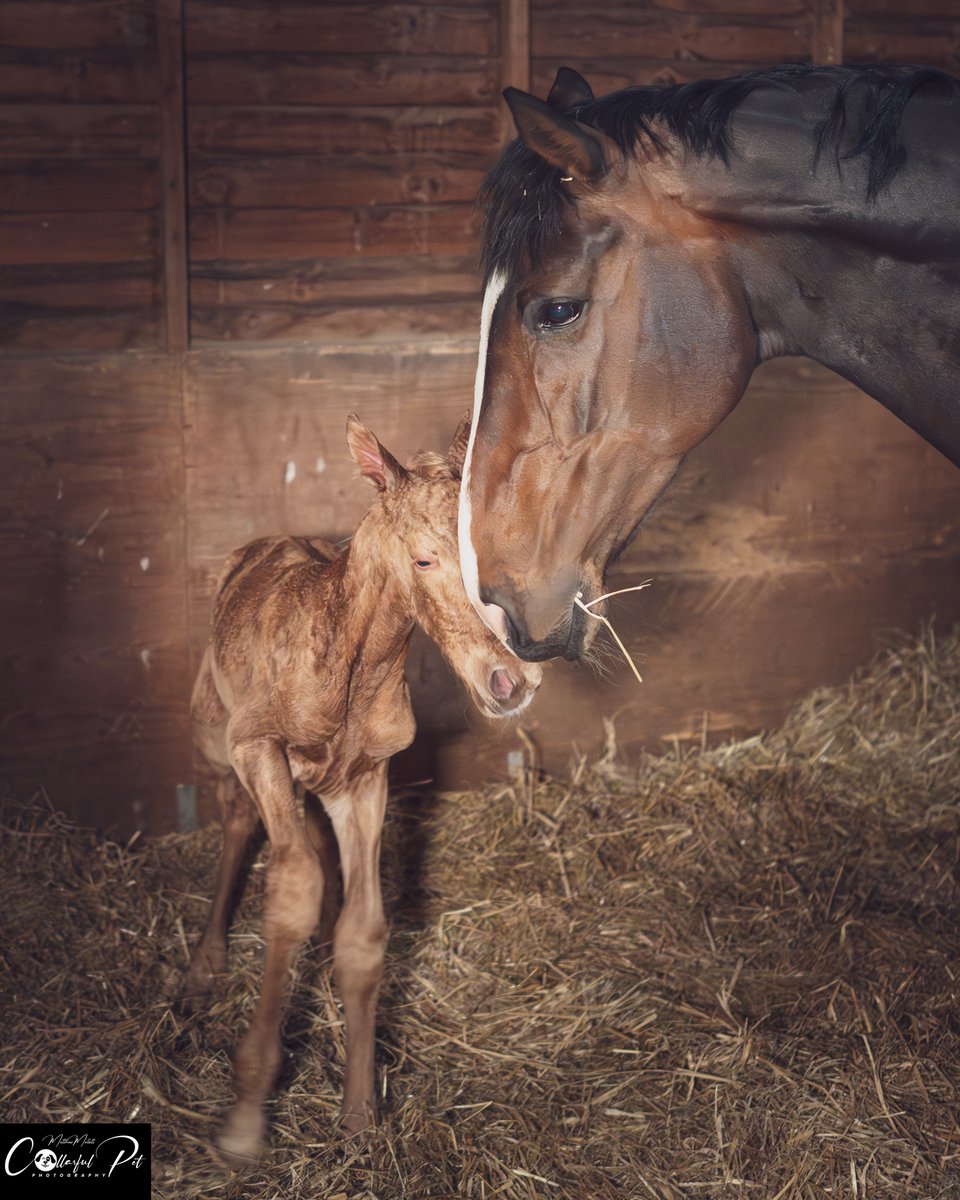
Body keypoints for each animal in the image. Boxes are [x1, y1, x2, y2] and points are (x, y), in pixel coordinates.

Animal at [186, 420, 540, 1161]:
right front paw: (245, 1118)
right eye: (425, 560)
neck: (345, 665)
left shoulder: (365, 779)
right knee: (237, 820)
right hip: (213, 734)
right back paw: (202, 967)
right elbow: (293, 889)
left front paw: (358, 1114)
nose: (510, 681)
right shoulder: (255, 745)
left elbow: (364, 931)